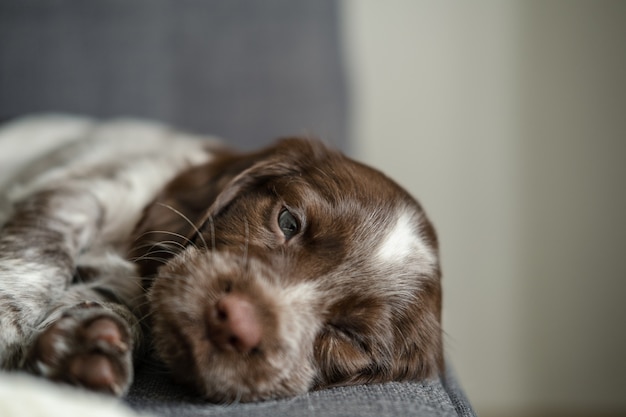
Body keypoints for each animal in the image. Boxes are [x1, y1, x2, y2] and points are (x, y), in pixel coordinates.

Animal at [0, 115, 442, 402]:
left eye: (351, 337)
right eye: (288, 221)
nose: (236, 322)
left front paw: (87, 342)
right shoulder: (82, 190)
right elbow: (38, 252)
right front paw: (8, 329)